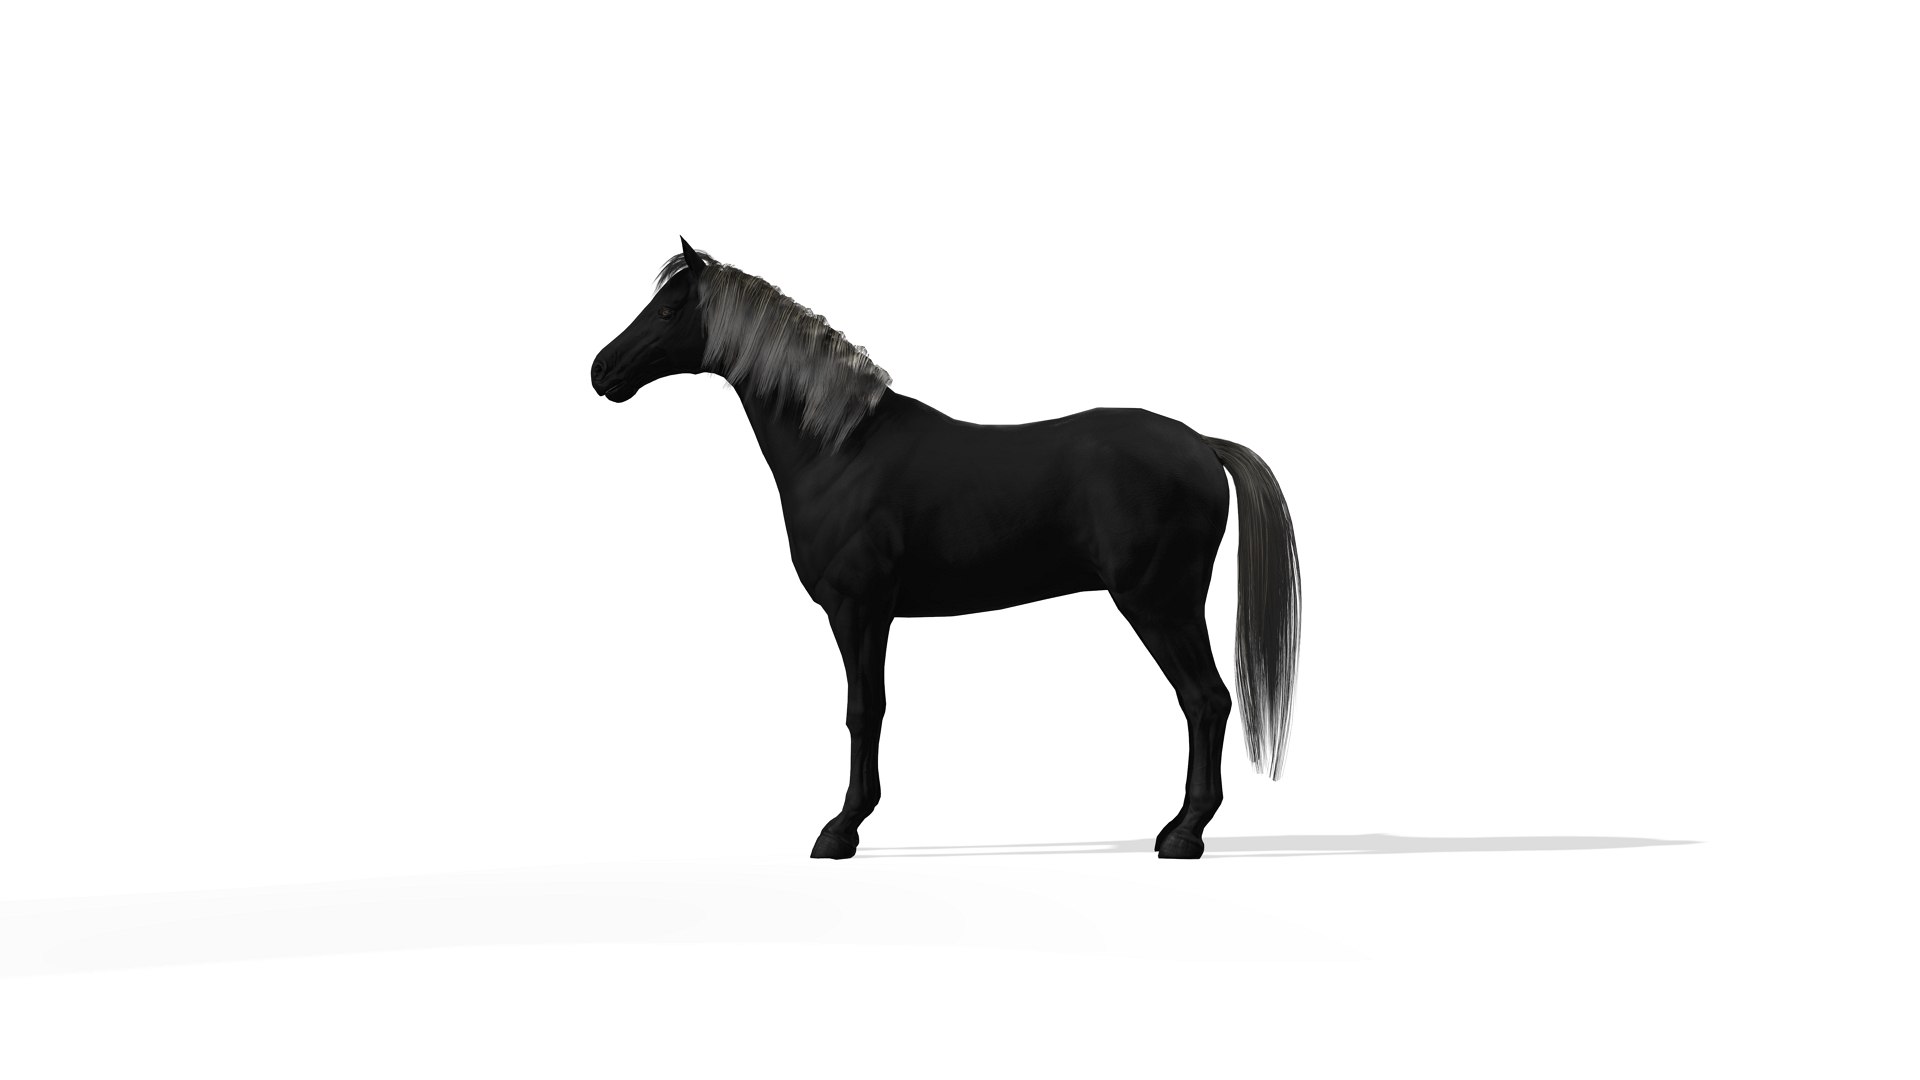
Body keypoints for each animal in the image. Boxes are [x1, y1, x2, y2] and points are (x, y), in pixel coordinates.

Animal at [589, 239, 1300, 859]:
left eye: (669, 309)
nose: (601, 370)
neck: (842, 450)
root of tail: (1202, 444)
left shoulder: (857, 610)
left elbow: (863, 711)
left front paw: (842, 829)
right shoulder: (869, 614)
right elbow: (869, 709)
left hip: (1160, 604)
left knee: (1205, 701)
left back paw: (1185, 835)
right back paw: (1176, 829)